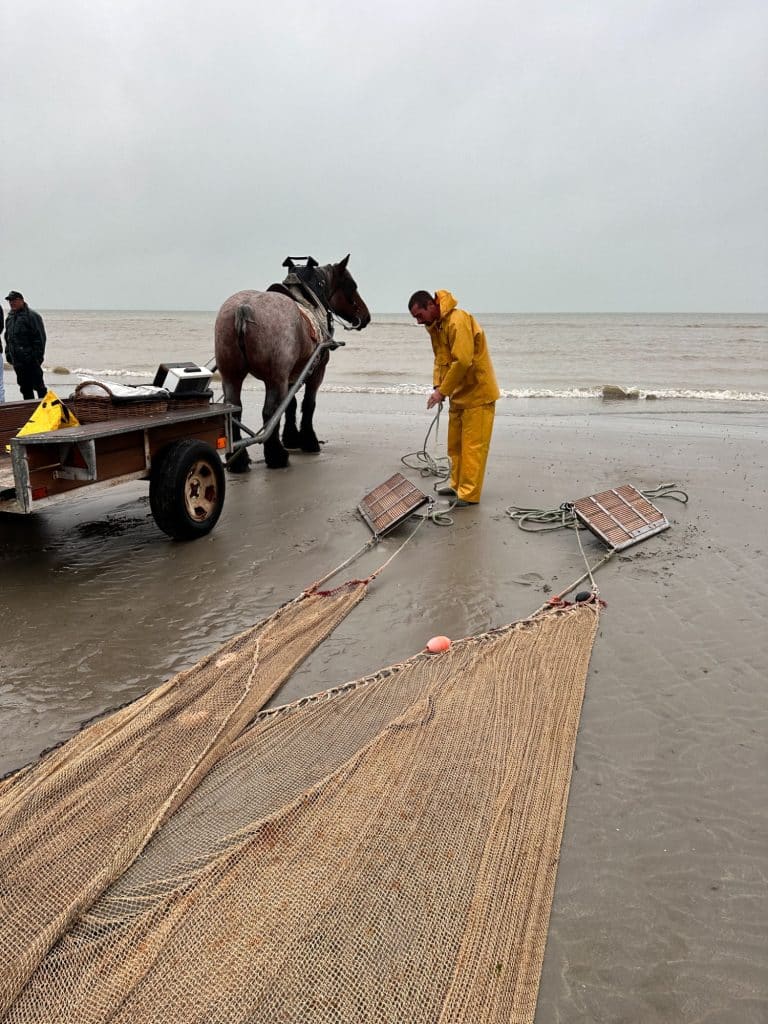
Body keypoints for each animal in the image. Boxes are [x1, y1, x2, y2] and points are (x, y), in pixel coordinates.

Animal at [215, 260, 370, 475]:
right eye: (352, 286)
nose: (366, 316)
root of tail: (244, 308)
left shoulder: (292, 375)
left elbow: (291, 405)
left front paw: (291, 438)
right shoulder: (316, 372)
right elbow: (308, 404)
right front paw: (308, 440)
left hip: (231, 376)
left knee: (234, 410)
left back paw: (238, 460)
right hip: (275, 379)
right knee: (270, 412)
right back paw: (276, 456)